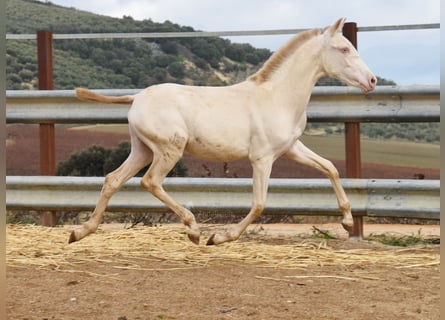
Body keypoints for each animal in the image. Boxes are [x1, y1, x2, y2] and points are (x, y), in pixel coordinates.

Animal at [69, 18, 374, 245]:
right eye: (343, 49)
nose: (371, 80)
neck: (277, 97)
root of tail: (136, 98)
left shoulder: (290, 148)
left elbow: (330, 168)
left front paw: (347, 222)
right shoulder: (262, 158)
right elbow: (259, 203)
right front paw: (220, 237)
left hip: (142, 149)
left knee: (113, 179)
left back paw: (80, 232)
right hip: (169, 149)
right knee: (150, 181)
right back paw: (193, 229)